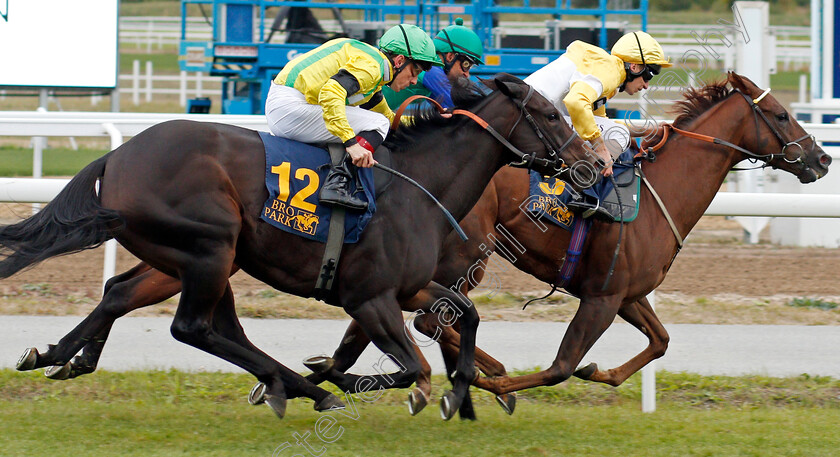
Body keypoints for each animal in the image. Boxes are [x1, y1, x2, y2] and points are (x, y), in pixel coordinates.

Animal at [3, 75, 592, 420]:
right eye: (552, 115)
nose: (594, 162)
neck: (419, 185)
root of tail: (117, 156)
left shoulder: (407, 288)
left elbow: (465, 314)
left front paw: (463, 391)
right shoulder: (368, 298)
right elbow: (412, 369)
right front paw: (348, 378)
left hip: (191, 255)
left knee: (123, 293)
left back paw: (55, 356)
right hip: (210, 247)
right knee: (194, 328)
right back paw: (301, 389)